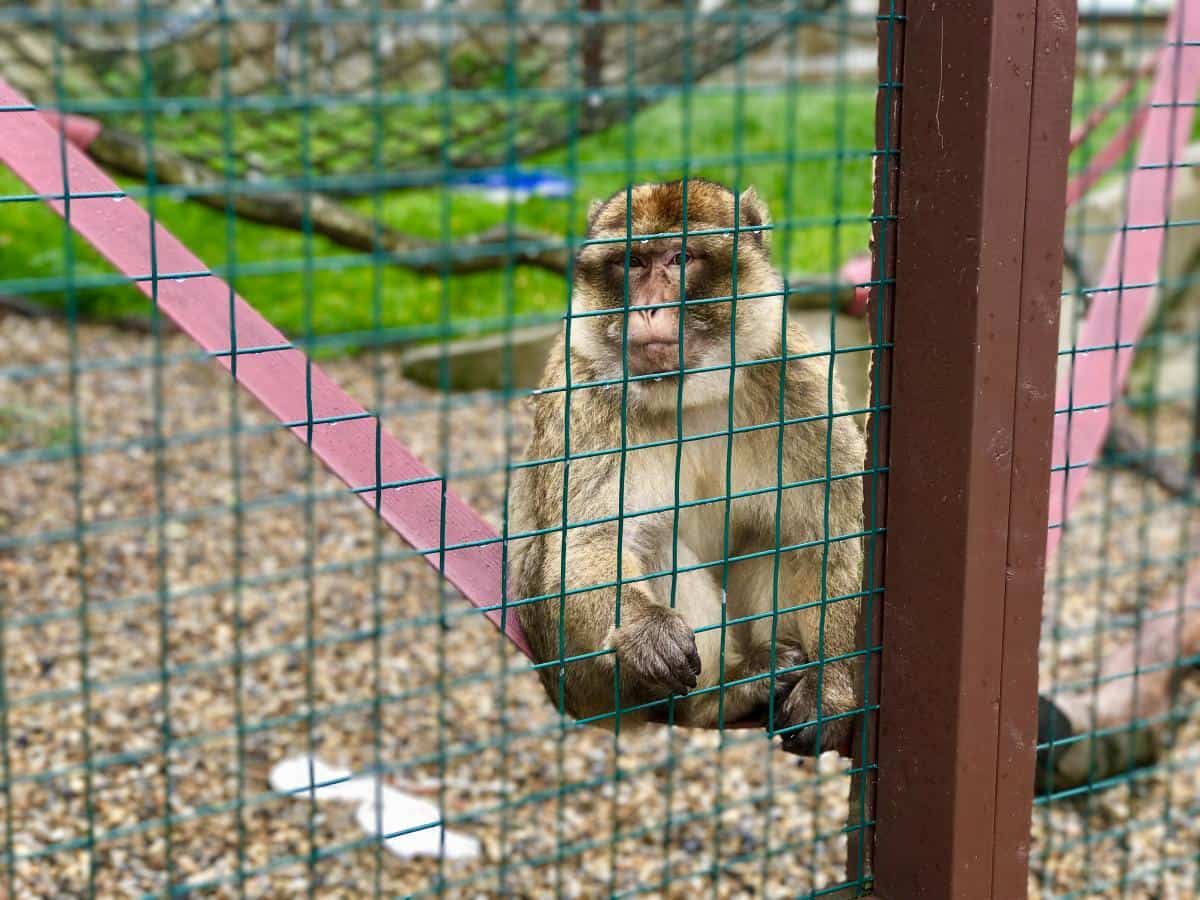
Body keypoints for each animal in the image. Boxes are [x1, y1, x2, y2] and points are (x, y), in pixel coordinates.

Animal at [506, 179, 865, 756]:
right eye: (632, 262)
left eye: (681, 259)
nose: (650, 309)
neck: (691, 394)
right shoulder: (582, 393)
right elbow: (582, 544)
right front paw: (648, 631)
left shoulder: (798, 380)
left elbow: (830, 536)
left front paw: (829, 690)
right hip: (590, 684)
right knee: (654, 542)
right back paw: (723, 696)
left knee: (780, 539)